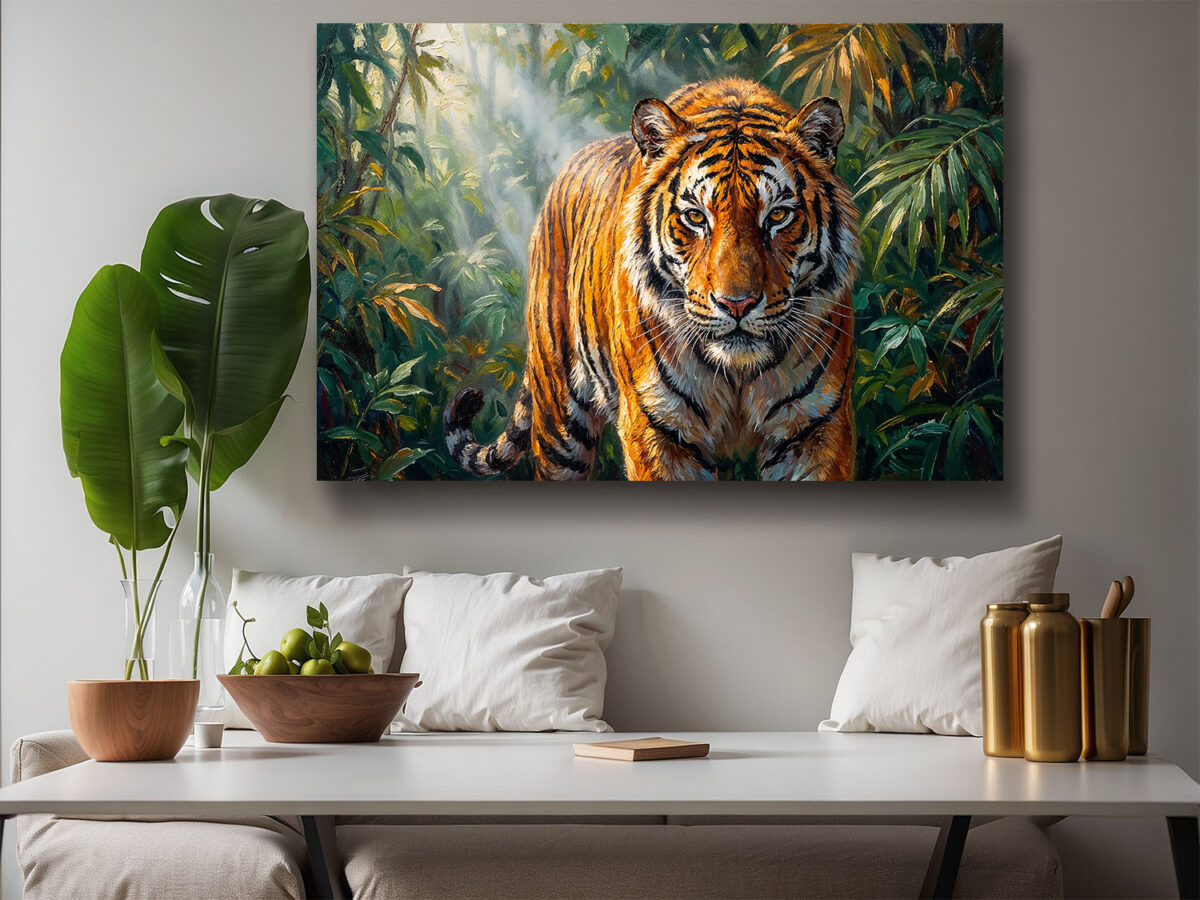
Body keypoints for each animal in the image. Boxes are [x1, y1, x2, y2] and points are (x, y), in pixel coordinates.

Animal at [444, 76, 860, 481]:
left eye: (777, 215)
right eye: (695, 217)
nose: (736, 304)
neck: (736, 373)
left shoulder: (814, 426)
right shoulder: (658, 428)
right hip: (558, 426)